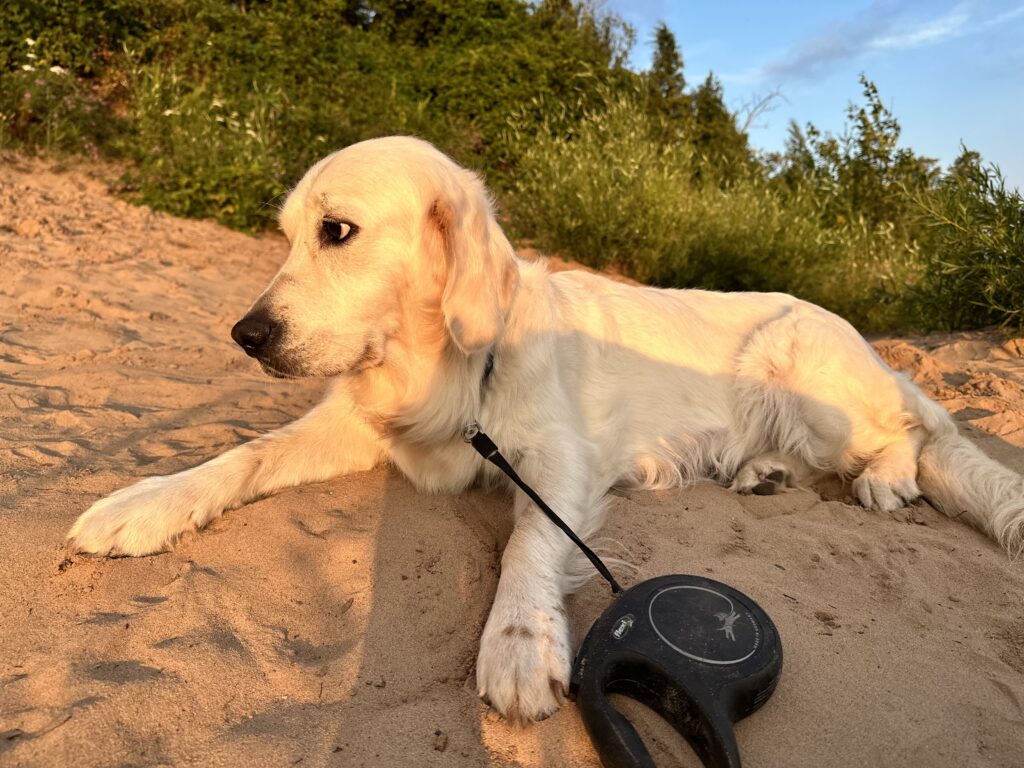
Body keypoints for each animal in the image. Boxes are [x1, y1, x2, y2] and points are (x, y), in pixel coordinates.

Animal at [68, 136, 1024, 723]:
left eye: (337, 231)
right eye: (287, 236)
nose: (246, 334)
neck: (449, 364)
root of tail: (866, 344)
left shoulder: (561, 460)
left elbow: (527, 543)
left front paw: (521, 642)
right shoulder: (360, 424)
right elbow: (244, 454)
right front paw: (142, 504)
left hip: (803, 371)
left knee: (914, 434)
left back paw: (882, 478)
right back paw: (762, 475)